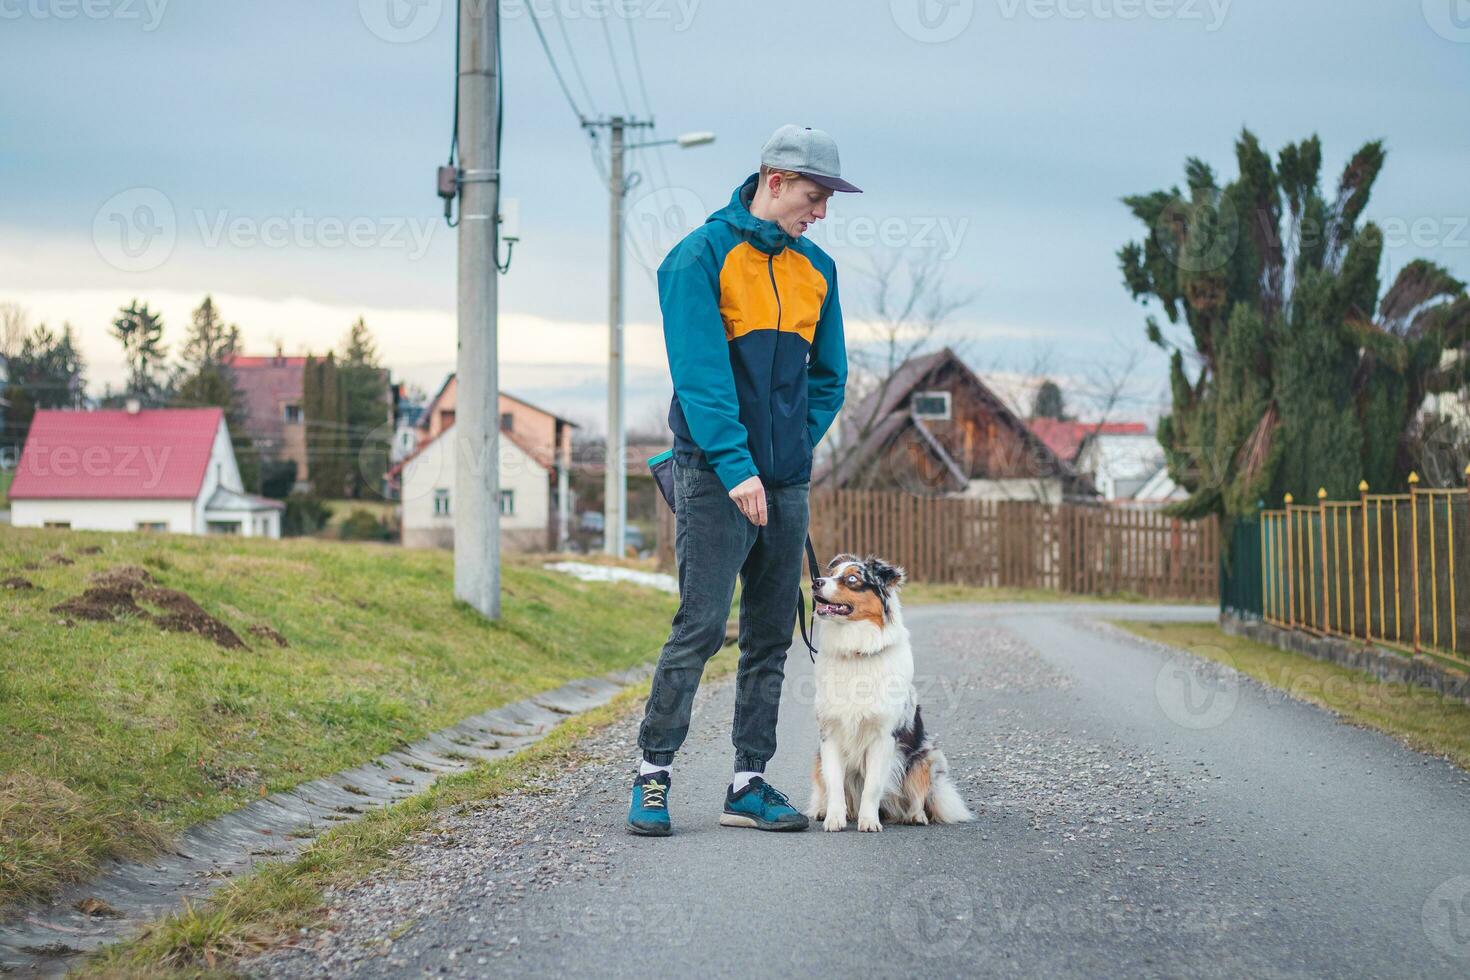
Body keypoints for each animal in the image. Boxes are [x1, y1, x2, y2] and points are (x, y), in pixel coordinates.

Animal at [811, 555, 970, 834]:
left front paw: (868, 821)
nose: (816, 582)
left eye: (852, 579)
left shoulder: (883, 737)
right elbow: (834, 784)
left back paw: (916, 815)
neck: (856, 653)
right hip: (817, 757)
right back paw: (825, 810)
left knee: (918, 795)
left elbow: (873, 786)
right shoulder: (829, 735)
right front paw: (834, 818)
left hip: (927, 756)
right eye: (830, 574)